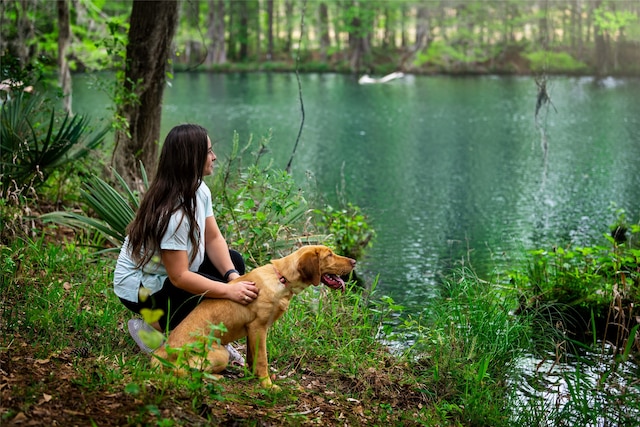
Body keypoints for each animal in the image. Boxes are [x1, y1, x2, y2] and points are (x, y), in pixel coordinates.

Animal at [153, 246, 358, 390]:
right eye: (329, 255)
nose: (354, 261)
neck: (281, 278)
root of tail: (159, 354)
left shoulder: (252, 331)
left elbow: (253, 358)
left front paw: (252, 377)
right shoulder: (259, 328)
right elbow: (262, 360)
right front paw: (267, 385)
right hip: (220, 353)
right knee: (186, 372)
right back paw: (216, 377)